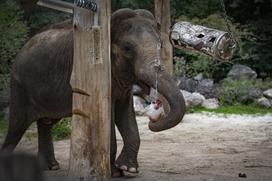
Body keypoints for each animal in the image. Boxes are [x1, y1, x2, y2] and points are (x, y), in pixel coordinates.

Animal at [1, 8, 186, 177]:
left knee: (46, 122)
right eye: (127, 48)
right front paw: (115, 173)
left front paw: (128, 169)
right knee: (17, 125)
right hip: (19, 85)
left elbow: (125, 114)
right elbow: (110, 118)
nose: (152, 121)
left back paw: (50, 167)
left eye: (161, 45)